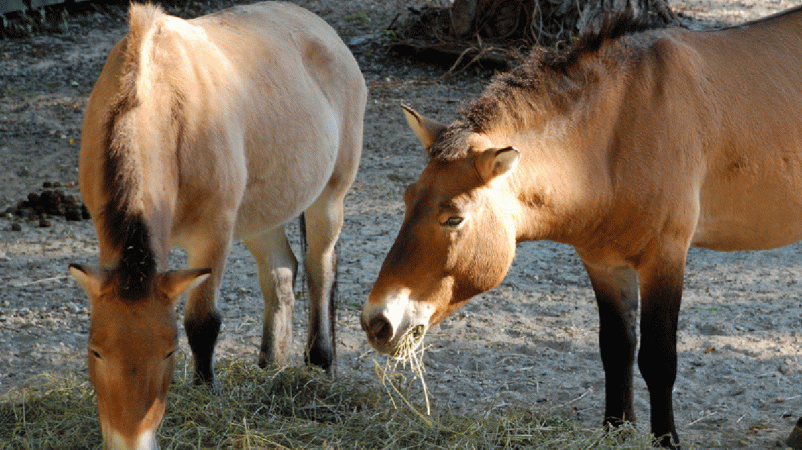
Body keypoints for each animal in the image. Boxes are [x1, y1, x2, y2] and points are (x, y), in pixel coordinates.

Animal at [67, 1, 364, 448]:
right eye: (96, 351)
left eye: (169, 352)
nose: (130, 440)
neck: (160, 98)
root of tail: (323, 30)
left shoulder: (214, 234)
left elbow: (202, 323)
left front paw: (205, 390)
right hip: (261, 217)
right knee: (282, 272)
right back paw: (271, 365)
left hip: (328, 198)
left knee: (319, 270)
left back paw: (320, 361)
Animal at [360, 5, 800, 448]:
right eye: (407, 198)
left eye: (454, 217)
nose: (376, 322)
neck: (616, 136)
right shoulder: (604, 264)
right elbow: (616, 349)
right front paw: (616, 429)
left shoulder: (665, 258)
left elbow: (658, 359)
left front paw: (666, 439)